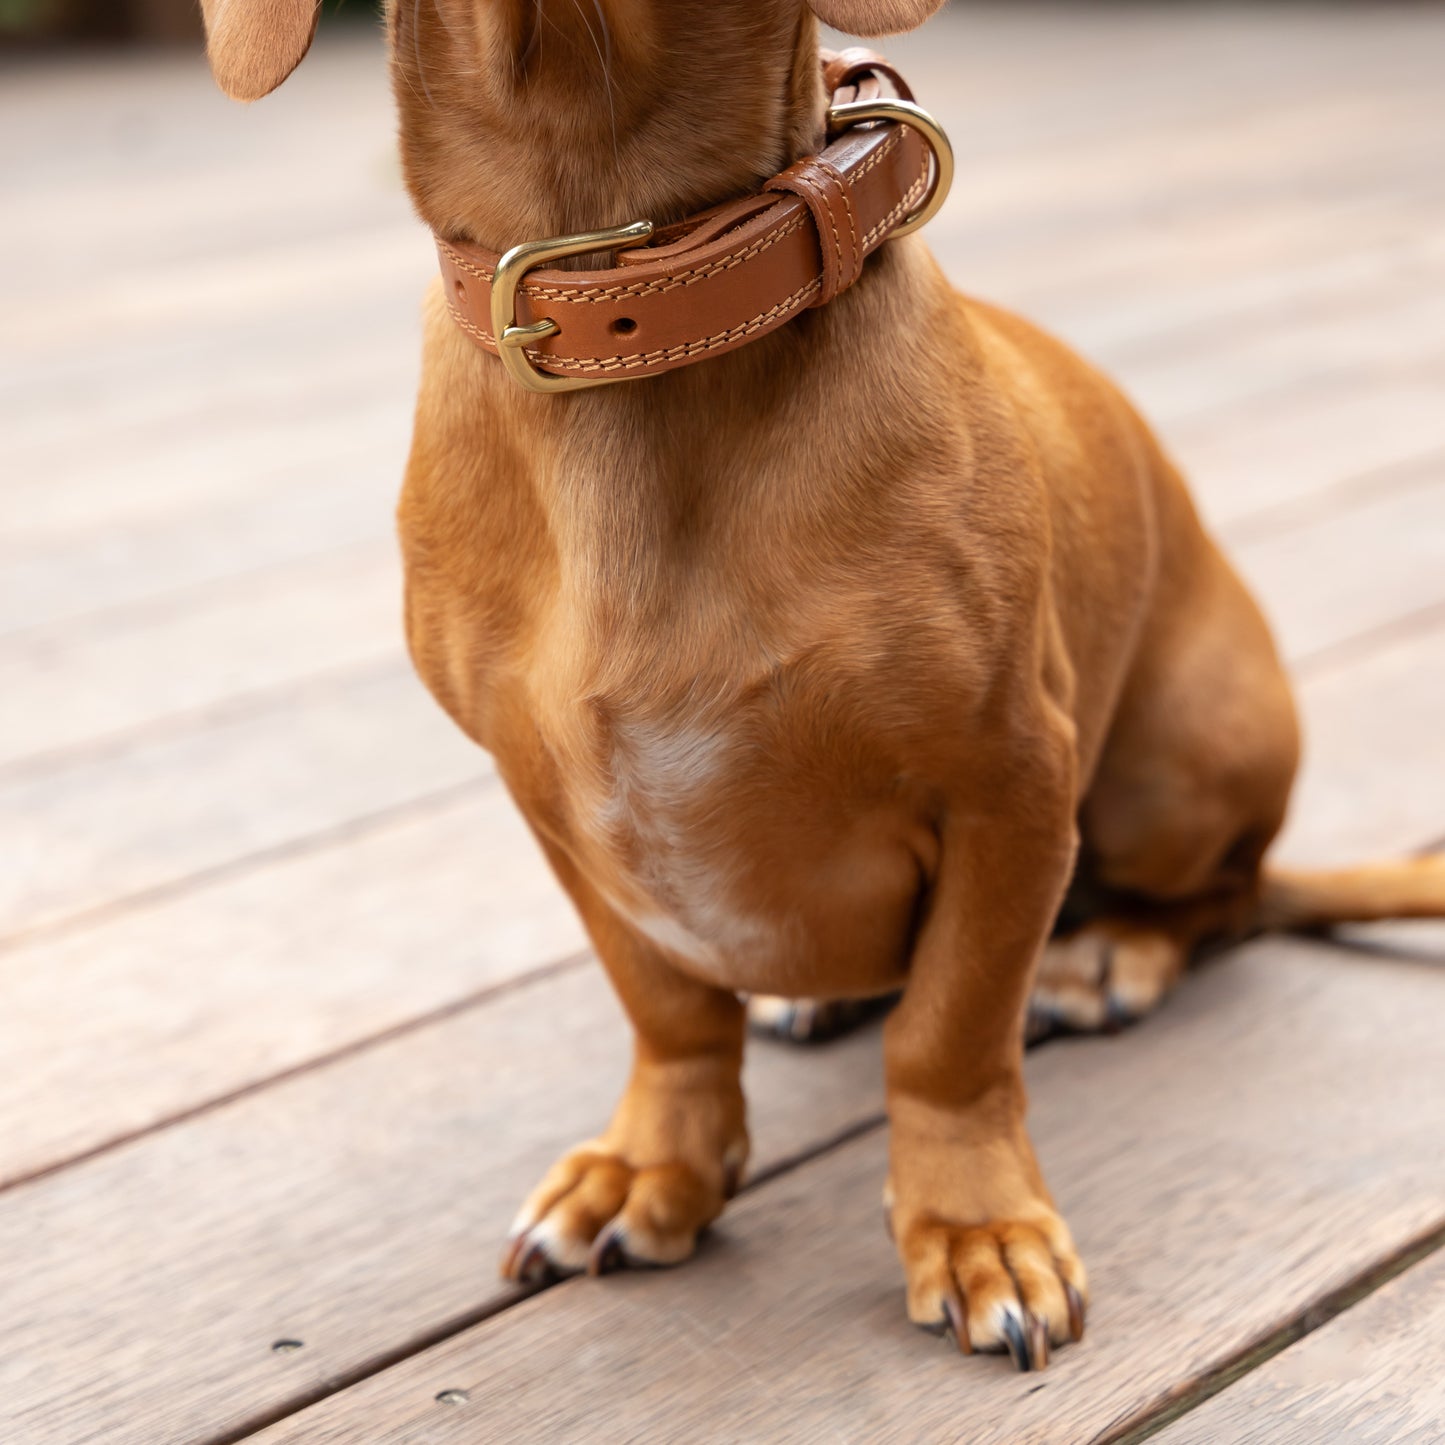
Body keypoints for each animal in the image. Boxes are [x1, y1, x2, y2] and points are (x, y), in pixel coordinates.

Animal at [200, 0, 1445, 1364]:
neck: (627, 318)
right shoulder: (557, 813)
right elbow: (668, 1008)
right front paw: (653, 1165)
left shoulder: (1011, 784)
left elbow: (949, 1034)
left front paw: (974, 1224)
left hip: (1174, 768)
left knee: (1223, 893)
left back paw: (1107, 952)